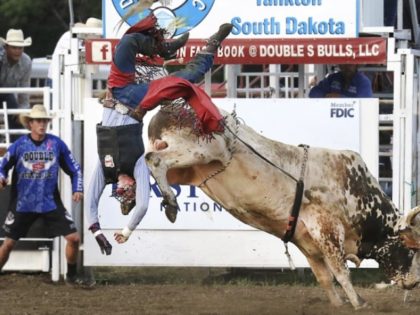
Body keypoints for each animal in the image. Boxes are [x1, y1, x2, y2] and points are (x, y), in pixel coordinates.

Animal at [144, 105, 420, 310]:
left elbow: (324, 277)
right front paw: (359, 303)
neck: (357, 193)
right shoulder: (326, 229)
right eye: (410, 247)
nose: (415, 282)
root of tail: (168, 109)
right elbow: (341, 271)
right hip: (202, 150)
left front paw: (338, 304)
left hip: (187, 169)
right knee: (154, 160)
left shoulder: (306, 241)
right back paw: (170, 203)